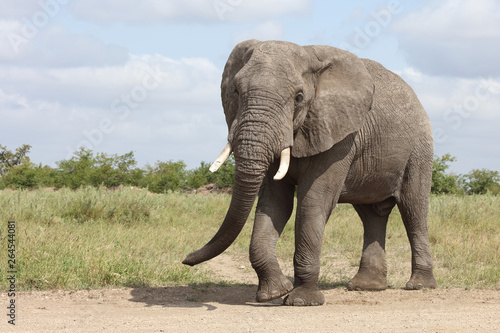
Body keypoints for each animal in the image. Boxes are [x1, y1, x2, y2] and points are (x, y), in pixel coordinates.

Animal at [182, 38, 436, 304]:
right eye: (236, 92)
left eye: (299, 97)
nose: (186, 259)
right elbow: (275, 203)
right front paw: (275, 292)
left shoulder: (340, 135)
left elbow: (313, 202)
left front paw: (300, 300)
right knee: (372, 214)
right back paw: (366, 287)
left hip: (419, 148)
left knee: (413, 209)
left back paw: (419, 285)